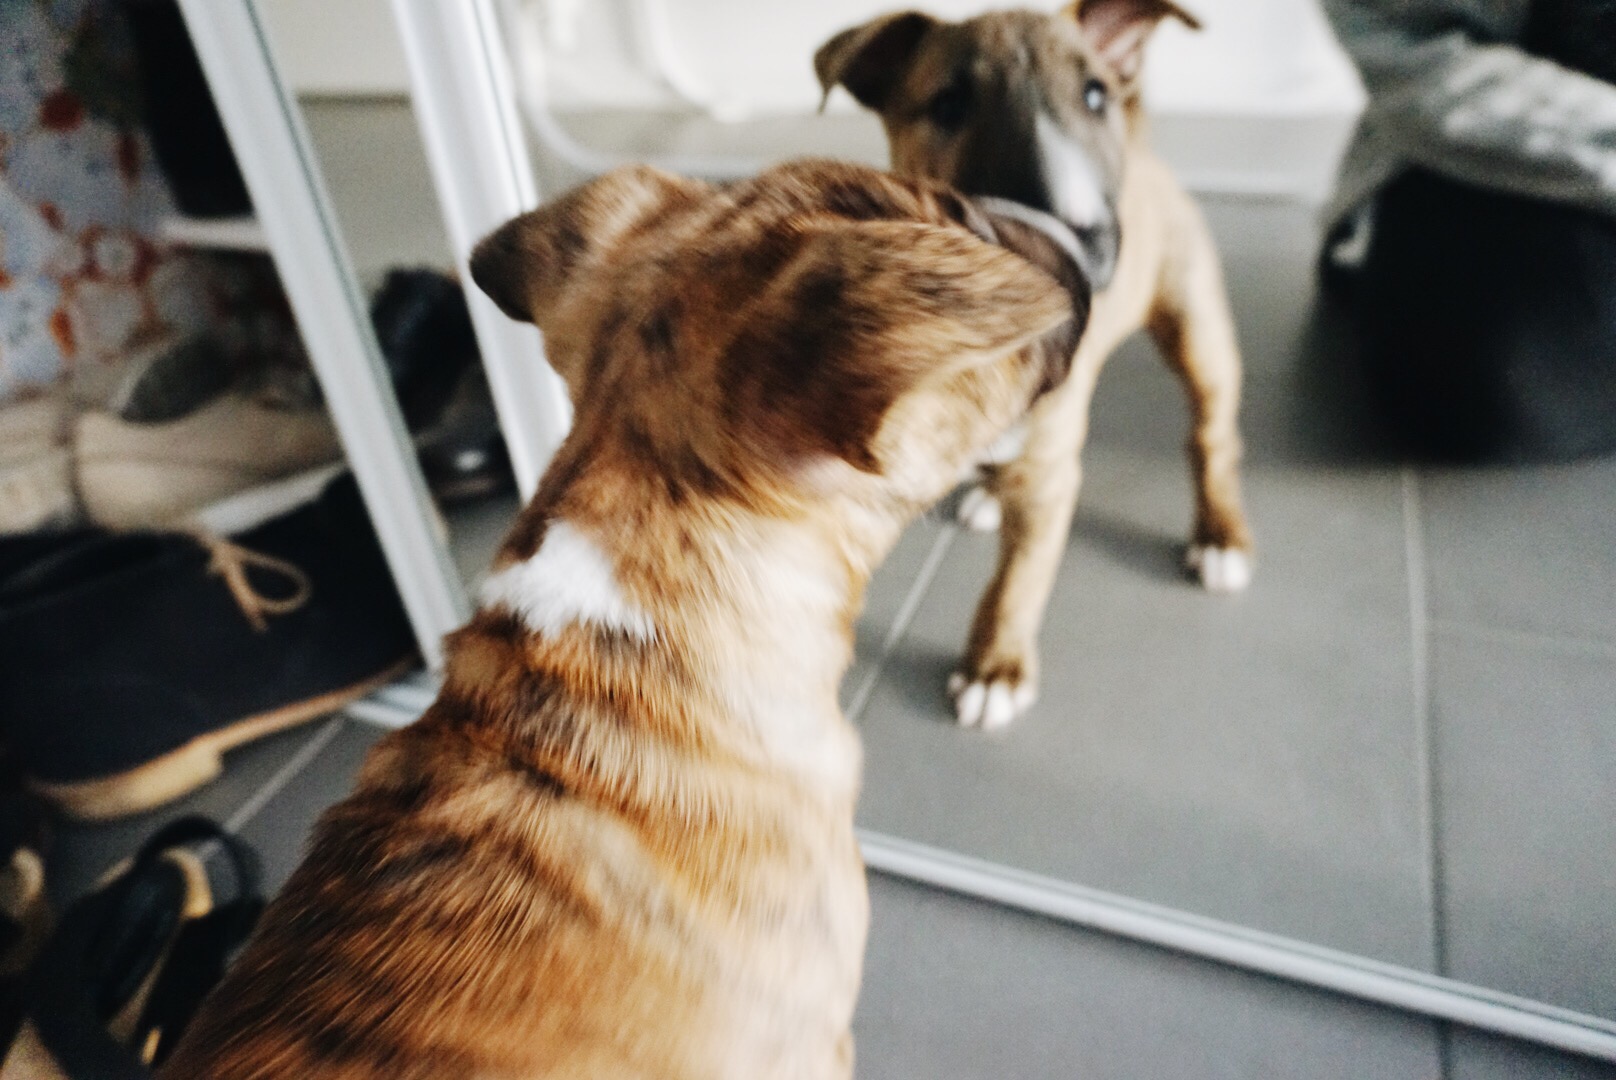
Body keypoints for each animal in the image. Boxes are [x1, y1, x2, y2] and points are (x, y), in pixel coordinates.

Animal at [817, 0, 1255, 730]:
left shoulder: (1053, 478)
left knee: (1211, 438)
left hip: (1199, 334)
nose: (1073, 234)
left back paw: (1220, 536)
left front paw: (993, 668)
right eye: (949, 103)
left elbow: (1018, 581)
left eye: (1094, 95)